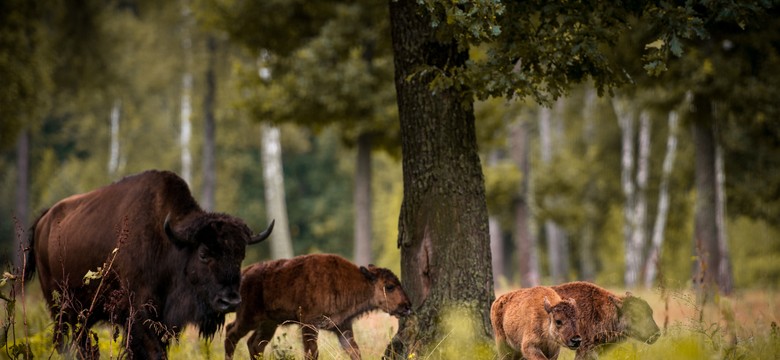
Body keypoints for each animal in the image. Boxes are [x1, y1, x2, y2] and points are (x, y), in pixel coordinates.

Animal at [23, 170, 274, 358]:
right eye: (204, 253)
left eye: (240, 254)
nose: (230, 301)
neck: (170, 244)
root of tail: (44, 220)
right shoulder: (139, 315)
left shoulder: (164, 321)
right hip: (62, 308)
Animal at [222, 253, 412, 360]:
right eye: (389, 286)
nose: (407, 306)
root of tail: (245, 272)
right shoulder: (309, 325)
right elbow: (312, 353)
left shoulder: (343, 327)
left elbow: (355, 351)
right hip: (248, 318)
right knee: (231, 333)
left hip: (268, 323)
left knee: (255, 344)